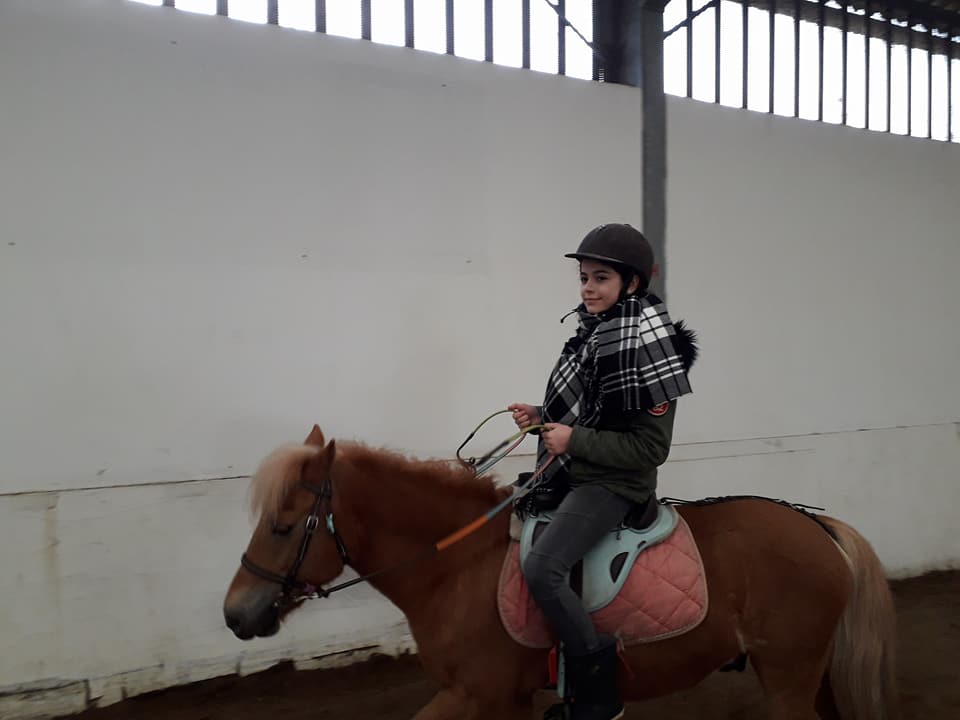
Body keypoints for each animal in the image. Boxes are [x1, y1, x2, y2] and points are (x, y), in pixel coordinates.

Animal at [223, 428, 900, 720]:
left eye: (283, 524)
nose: (235, 613)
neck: (455, 567)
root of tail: (816, 525)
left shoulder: (475, 694)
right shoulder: (506, 700)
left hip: (788, 676)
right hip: (802, 674)